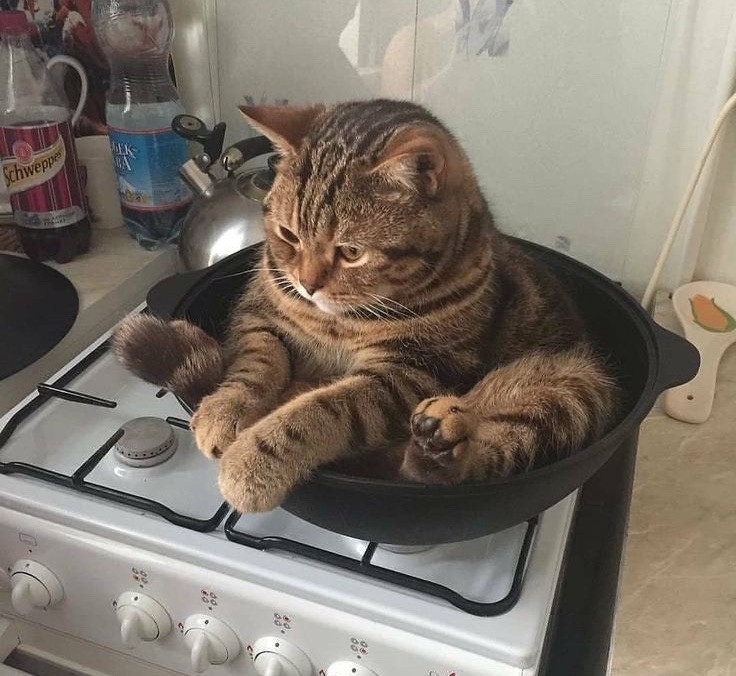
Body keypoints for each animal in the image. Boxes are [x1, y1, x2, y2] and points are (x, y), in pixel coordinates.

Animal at [113, 99, 620, 512]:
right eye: (289, 235)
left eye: (352, 252)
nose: (307, 284)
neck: (337, 320)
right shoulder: (260, 316)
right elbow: (254, 366)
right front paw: (224, 410)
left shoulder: (408, 372)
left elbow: (320, 412)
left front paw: (253, 462)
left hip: (570, 390)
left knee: (471, 462)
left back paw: (439, 447)